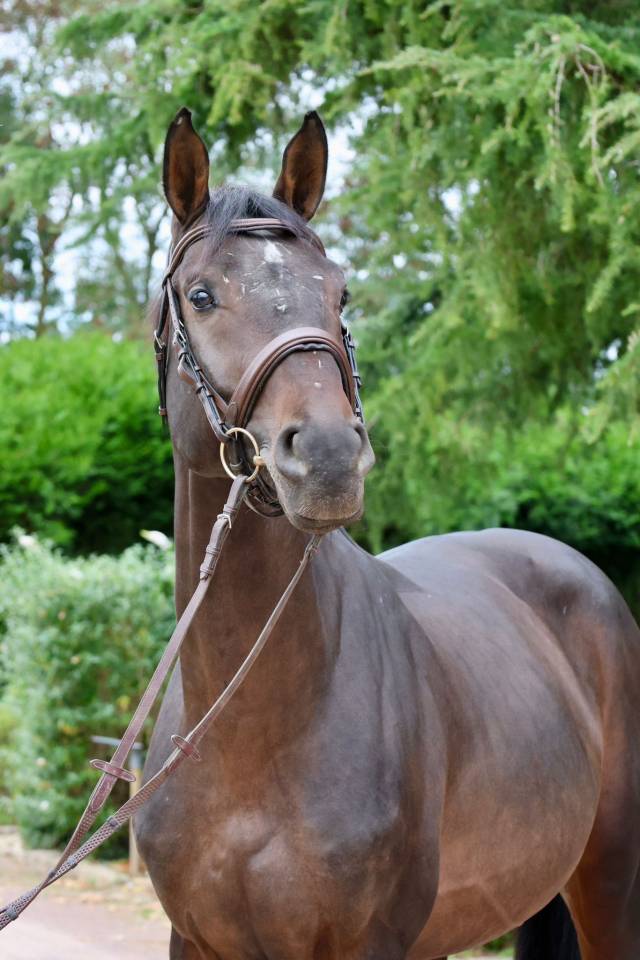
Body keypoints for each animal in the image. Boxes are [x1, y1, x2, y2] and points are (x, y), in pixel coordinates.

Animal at [135, 107, 640, 960]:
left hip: (608, 882)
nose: (329, 457)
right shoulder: (193, 942)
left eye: (338, 293)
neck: (248, 734)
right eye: (201, 295)